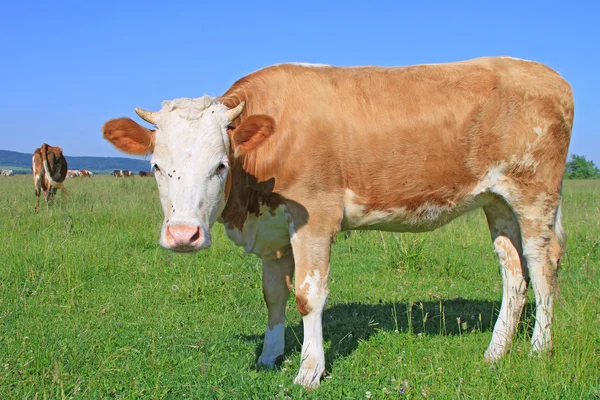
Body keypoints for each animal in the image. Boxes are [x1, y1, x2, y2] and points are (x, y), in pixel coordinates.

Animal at [102, 56, 572, 388]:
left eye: (220, 165)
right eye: (157, 166)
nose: (183, 235)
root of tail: (546, 74)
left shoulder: (314, 218)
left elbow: (308, 296)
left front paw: (310, 370)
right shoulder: (273, 229)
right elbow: (273, 296)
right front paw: (270, 355)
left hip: (535, 195)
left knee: (542, 267)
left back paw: (539, 350)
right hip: (498, 202)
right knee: (514, 272)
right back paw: (496, 352)